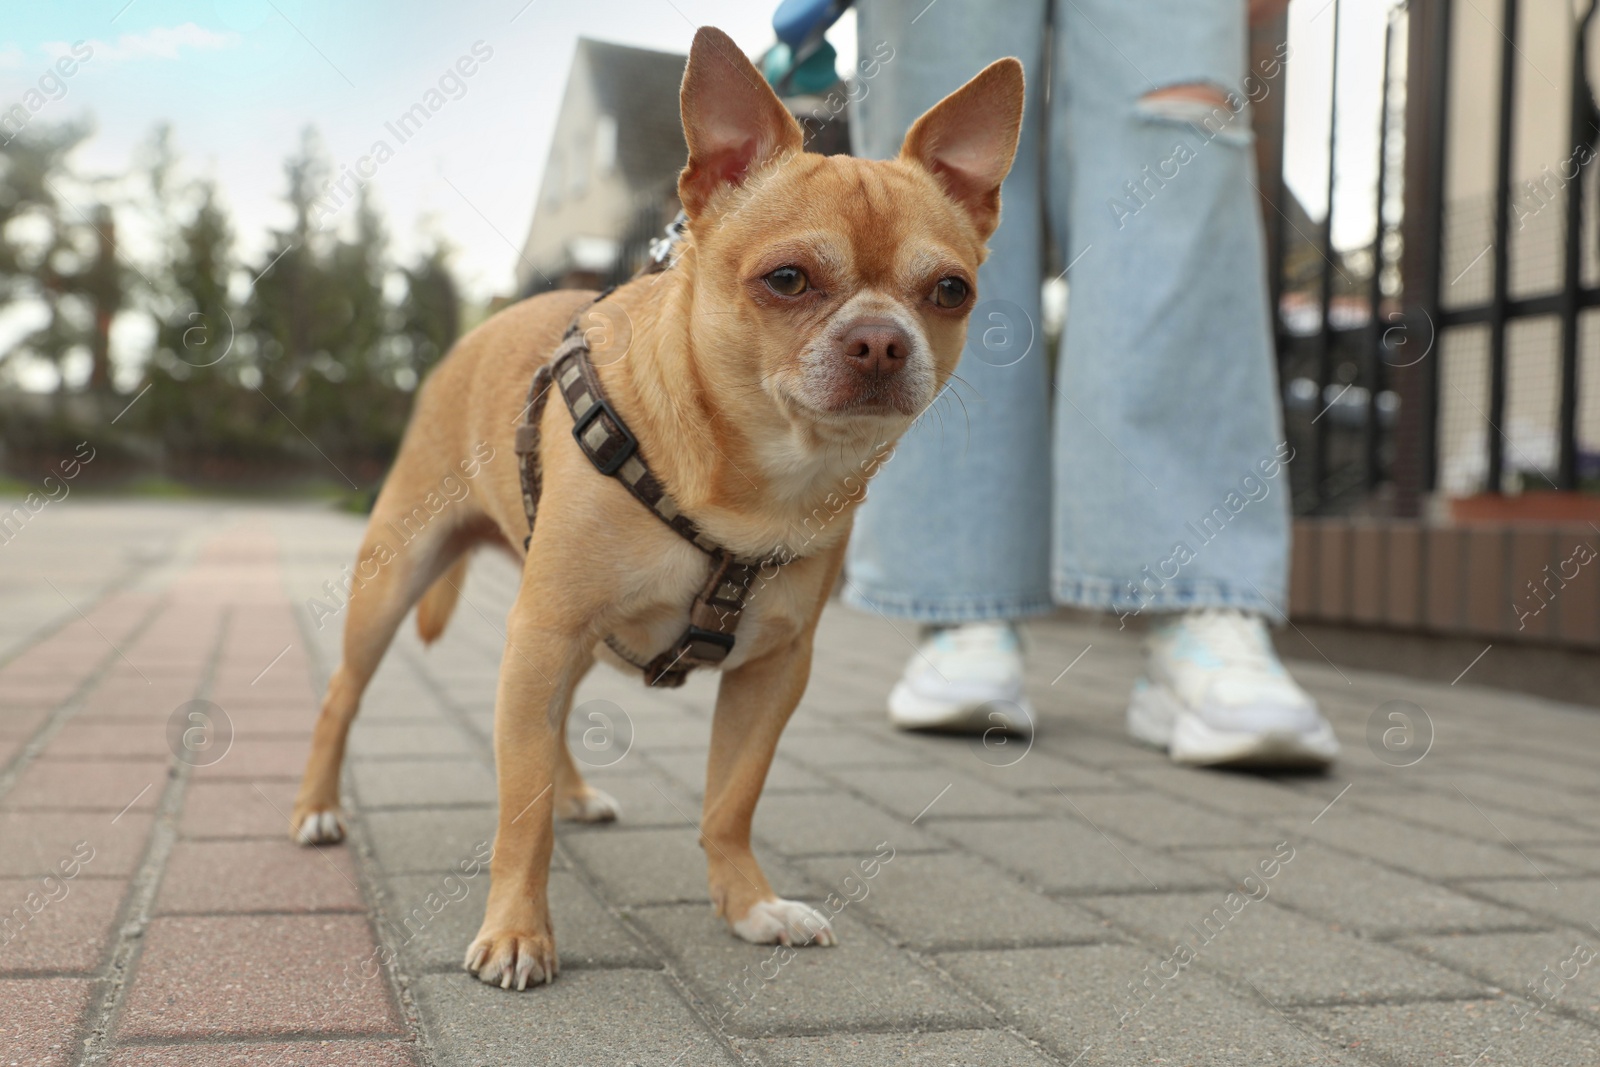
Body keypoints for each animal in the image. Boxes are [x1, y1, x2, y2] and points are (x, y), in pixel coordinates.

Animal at [292, 27, 1017, 991]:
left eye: (950, 292)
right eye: (788, 279)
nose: (881, 339)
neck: (761, 481)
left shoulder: (771, 672)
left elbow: (730, 800)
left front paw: (749, 904)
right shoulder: (544, 634)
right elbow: (520, 815)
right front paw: (518, 929)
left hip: (571, 637)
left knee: (554, 726)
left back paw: (576, 791)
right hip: (401, 582)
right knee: (343, 697)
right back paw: (317, 807)